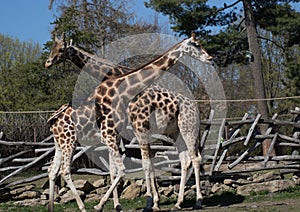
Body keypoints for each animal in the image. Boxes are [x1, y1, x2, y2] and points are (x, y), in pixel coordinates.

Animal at [45, 34, 212, 211]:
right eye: (196, 44)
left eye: (61, 49)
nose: (209, 58)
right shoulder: (122, 134)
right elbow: (132, 168)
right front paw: (149, 202)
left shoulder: (127, 133)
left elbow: (134, 167)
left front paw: (148, 203)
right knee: (60, 170)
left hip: (186, 129)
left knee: (193, 158)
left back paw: (193, 201)